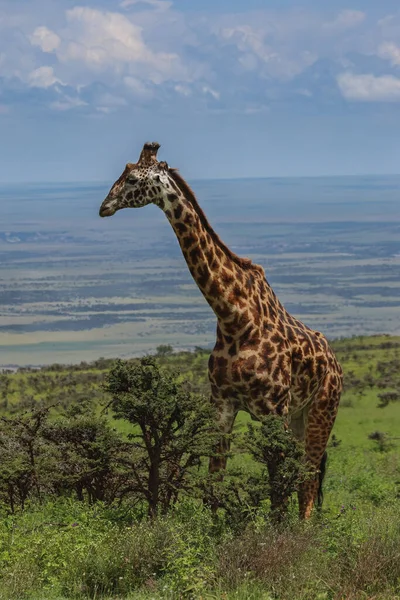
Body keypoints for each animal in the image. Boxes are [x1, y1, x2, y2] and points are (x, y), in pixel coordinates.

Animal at [98, 143, 342, 516]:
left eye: (131, 179)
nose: (104, 207)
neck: (233, 317)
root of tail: (334, 362)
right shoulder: (222, 403)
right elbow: (214, 483)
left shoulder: (274, 411)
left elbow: (278, 491)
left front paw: (278, 533)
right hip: (301, 416)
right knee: (306, 481)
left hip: (322, 410)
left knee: (308, 480)